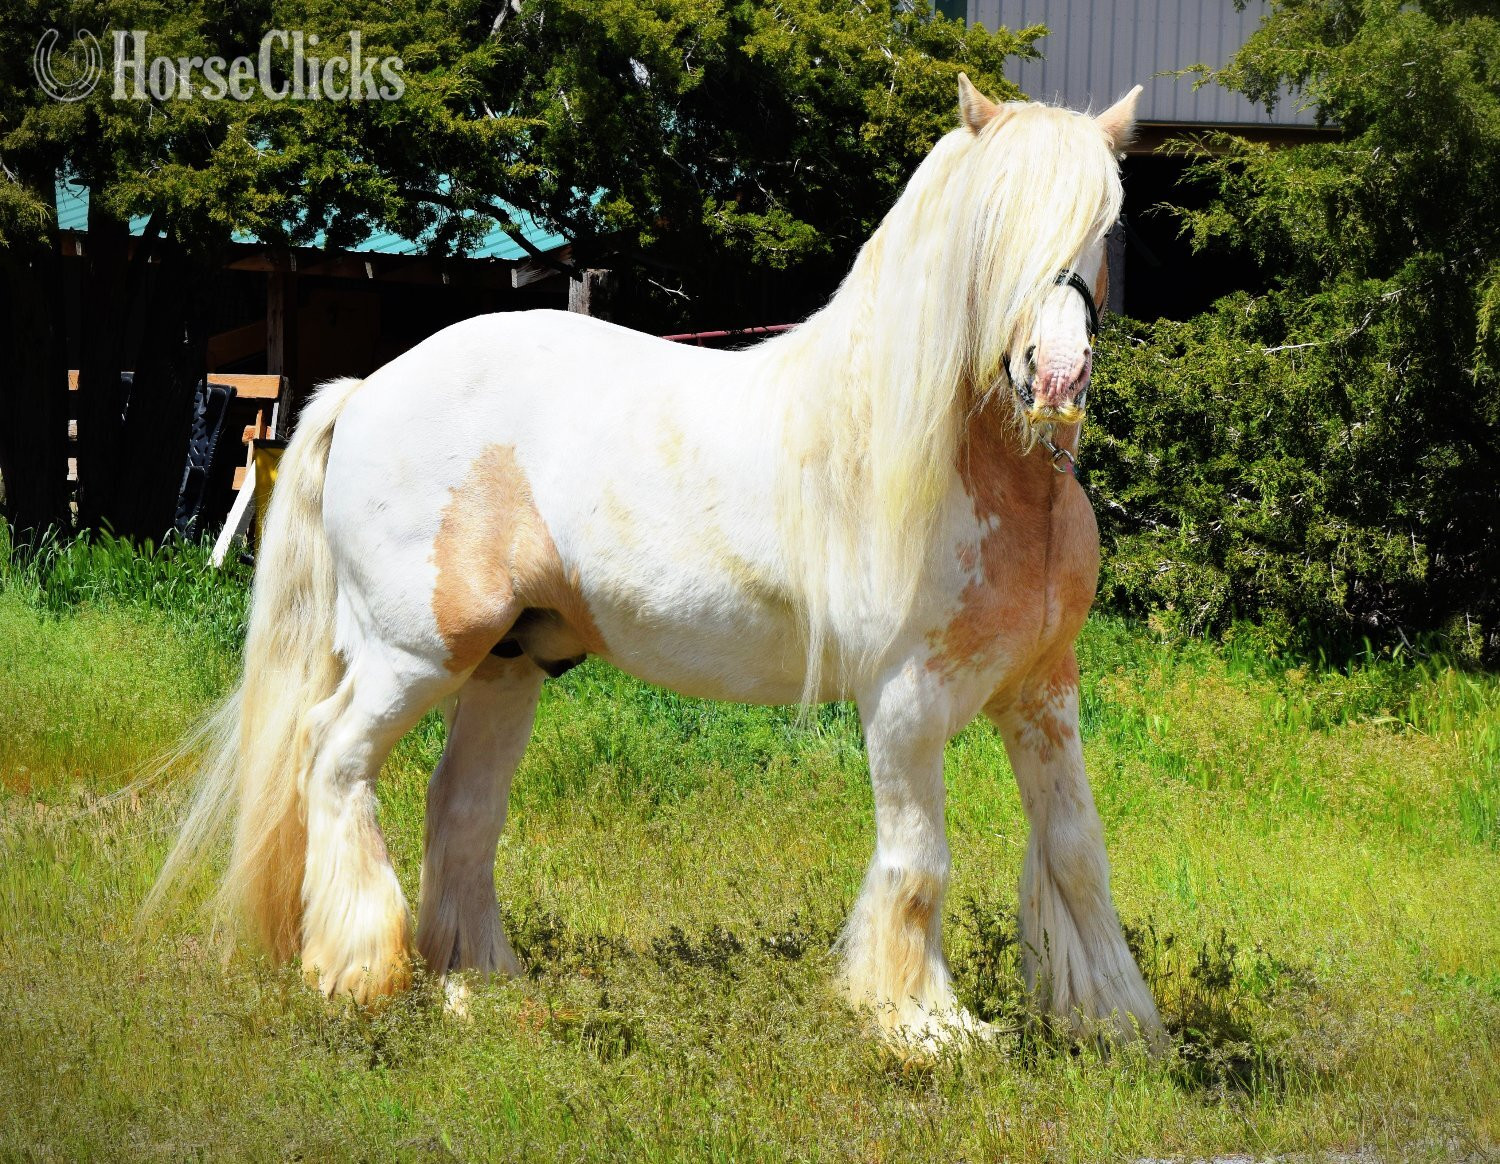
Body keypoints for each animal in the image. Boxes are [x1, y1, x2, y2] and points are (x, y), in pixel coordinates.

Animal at [153, 75, 1162, 1051]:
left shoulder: (1042, 692)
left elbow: (1077, 851)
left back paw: (483, 987)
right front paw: (924, 1026)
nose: (1057, 375)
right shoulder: (903, 704)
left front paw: (1117, 1022)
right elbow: (920, 864)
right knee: (333, 760)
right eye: (993, 225)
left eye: (1105, 222)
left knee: (461, 809)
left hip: (508, 666)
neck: (989, 483)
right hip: (415, 655)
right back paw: (356, 974)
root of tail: (367, 389)